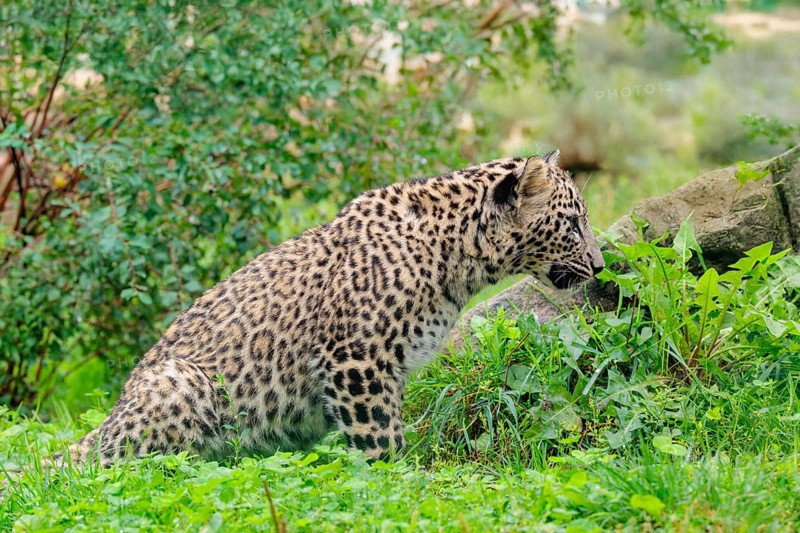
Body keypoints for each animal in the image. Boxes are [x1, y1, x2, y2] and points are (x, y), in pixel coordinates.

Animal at [57, 149, 604, 466]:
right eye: (575, 223)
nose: (601, 266)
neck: (456, 257)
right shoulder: (357, 360)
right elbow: (380, 438)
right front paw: (398, 482)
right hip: (181, 383)